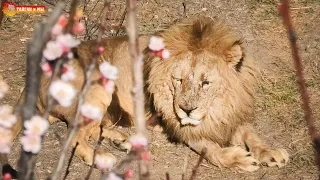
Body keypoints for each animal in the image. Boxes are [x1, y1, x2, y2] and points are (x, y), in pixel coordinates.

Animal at [2, 16, 288, 174]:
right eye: (178, 80)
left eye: (206, 82)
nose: (187, 110)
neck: (220, 106)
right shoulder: (177, 125)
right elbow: (208, 147)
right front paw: (238, 158)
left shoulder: (233, 113)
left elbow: (250, 133)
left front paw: (270, 152)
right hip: (97, 85)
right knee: (73, 136)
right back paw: (102, 156)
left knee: (92, 129)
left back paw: (123, 140)